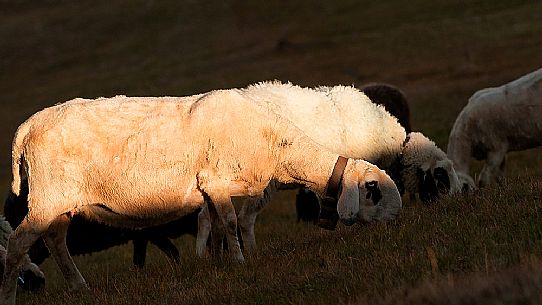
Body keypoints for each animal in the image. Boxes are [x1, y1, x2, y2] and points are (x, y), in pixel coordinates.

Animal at [0, 88, 404, 304]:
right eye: (373, 191)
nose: (398, 228)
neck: (275, 145)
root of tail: (26, 127)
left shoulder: (210, 188)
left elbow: (216, 227)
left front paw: (218, 264)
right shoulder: (217, 179)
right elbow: (229, 222)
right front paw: (240, 263)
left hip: (60, 201)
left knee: (55, 240)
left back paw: (78, 285)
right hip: (48, 196)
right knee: (19, 245)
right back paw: (8, 295)